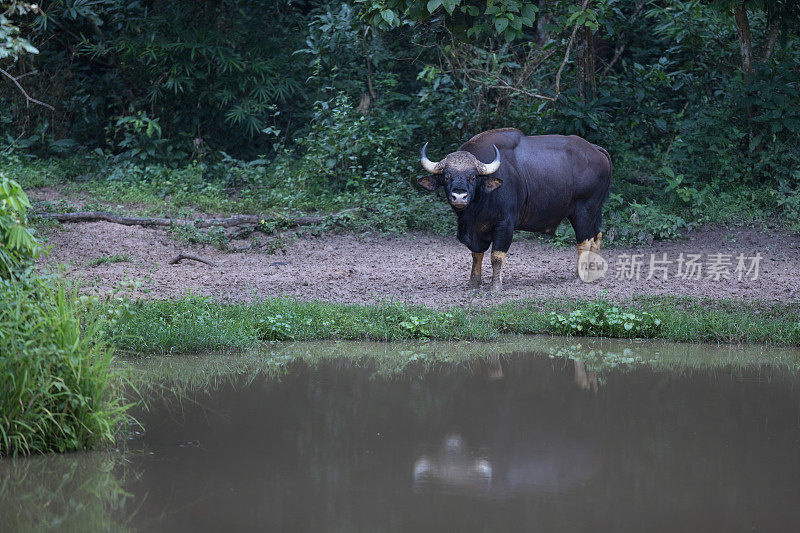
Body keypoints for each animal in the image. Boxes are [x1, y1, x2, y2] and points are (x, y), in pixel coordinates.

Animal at [418, 127, 612, 290]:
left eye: (473, 177)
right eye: (447, 176)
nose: (459, 196)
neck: (476, 209)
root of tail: (595, 149)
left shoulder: (505, 223)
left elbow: (496, 255)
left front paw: (495, 286)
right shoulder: (476, 230)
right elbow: (476, 254)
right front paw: (474, 282)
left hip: (584, 211)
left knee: (584, 242)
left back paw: (580, 276)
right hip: (595, 210)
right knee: (597, 236)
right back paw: (593, 272)